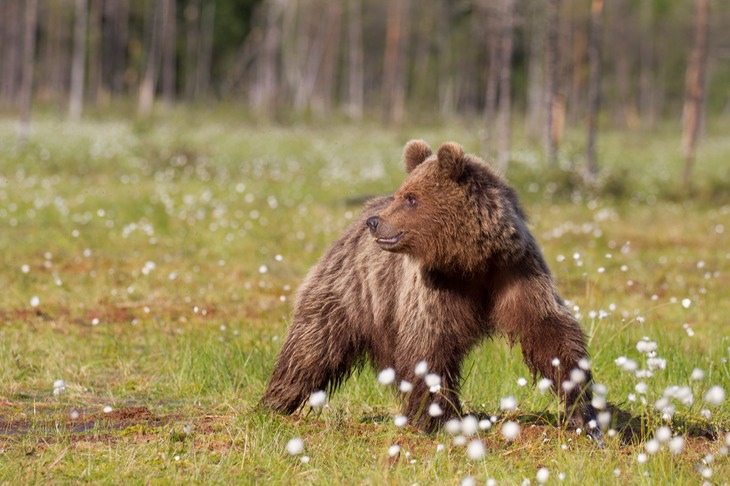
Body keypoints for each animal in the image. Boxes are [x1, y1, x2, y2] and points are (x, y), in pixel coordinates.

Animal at [260, 140, 596, 436]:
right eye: (402, 193)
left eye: (411, 198)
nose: (375, 222)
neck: (471, 262)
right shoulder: (436, 286)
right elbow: (430, 341)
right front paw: (437, 419)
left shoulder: (515, 272)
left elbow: (548, 329)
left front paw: (581, 408)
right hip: (349, 289)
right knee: (312, 344)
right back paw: (275, 401)